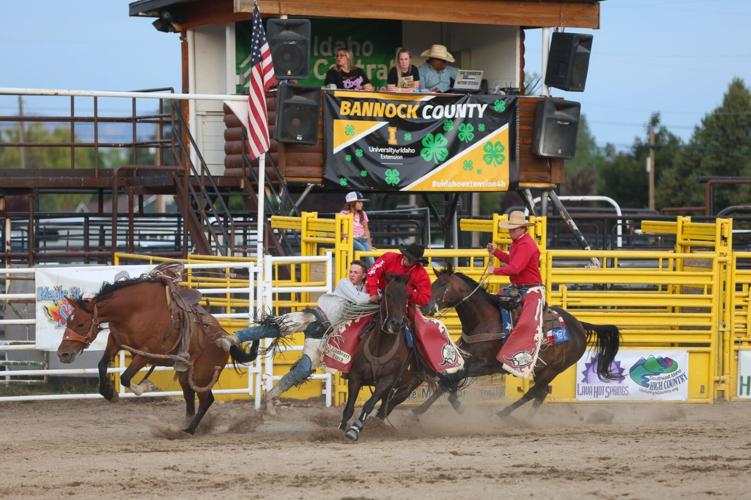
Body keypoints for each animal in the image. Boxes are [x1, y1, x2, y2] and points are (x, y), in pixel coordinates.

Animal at [55, 276, 258, 436]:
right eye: (68, 321)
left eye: (81, 324)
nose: (63, 353)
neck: (134, 311)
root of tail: (226, 339)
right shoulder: (115, 342)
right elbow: (102, 365)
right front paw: (109, 393)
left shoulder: (145, 353)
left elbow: (125, 377)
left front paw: (146, 386)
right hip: (186, 375)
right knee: (190, 398)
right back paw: (184, 426)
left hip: (202, 375)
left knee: (206, 400)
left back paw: (189, 430)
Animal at [340, 274, 428, 442]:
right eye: (387, 294)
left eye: (406, 296)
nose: (396, 324)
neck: (380, 347)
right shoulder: (355, 377)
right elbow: (349, 407)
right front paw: (340, 429)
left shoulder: (386, 381)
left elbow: (369, 404)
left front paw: (354, 429)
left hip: (407, 387)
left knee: (387, 406)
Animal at [418, 266, 624, 418]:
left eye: (443, 285)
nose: (424, 307)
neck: (485, 320)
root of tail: (579, 325)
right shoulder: (466, 357)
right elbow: (447, 379)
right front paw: (425, 409)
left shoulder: (488, 365)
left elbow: (453, 378)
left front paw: (445, 404)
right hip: (543, 368)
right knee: (541, 392)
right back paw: (527, 419)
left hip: (554, 368)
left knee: (534, 392)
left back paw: (505, 414)